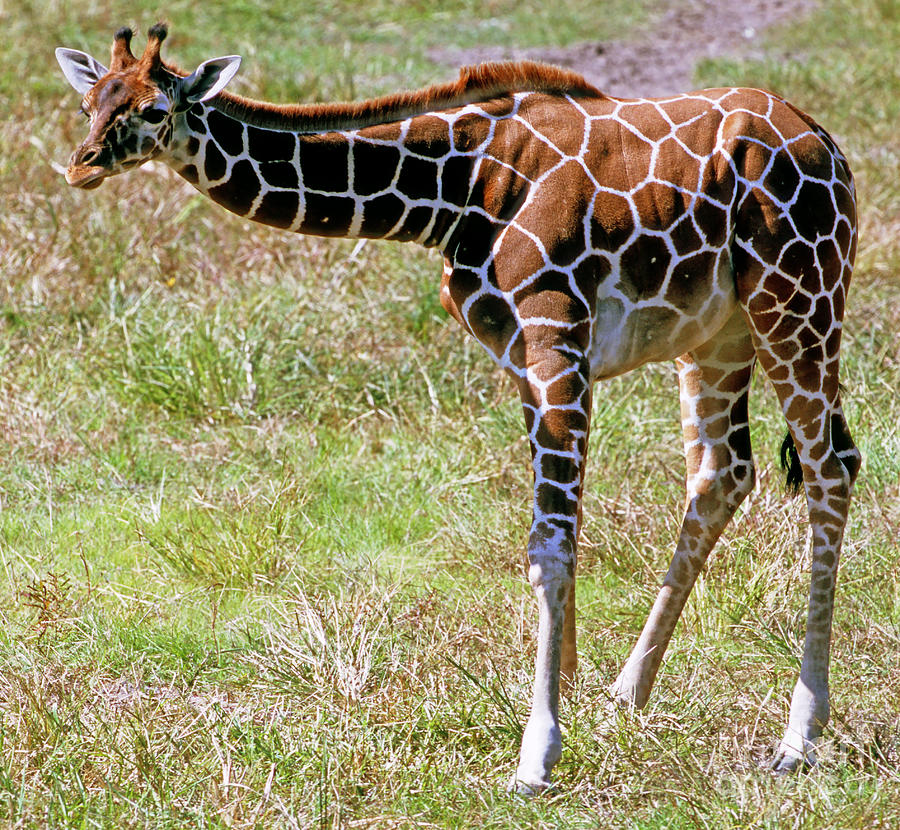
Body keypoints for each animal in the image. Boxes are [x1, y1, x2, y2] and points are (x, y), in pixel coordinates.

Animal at [54, 24, 856, 792]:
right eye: (90, 102)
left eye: (153, 110)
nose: (81, 165)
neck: (455, 187)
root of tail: (828, 146)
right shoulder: (526, 354)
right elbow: (561, 530)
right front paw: (570, 695)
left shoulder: (553, 325)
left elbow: (548, 542)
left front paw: (536, 756)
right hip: (717, 336)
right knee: (724, 472)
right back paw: (629, 694)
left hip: (797, 301)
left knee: (831, 466)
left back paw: (798, 739)